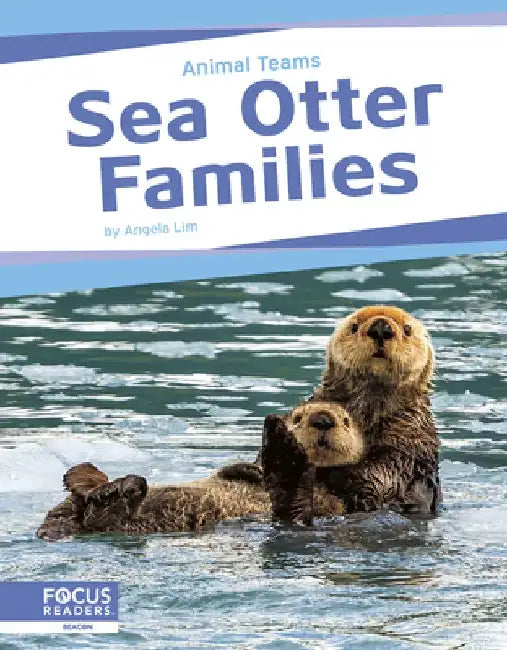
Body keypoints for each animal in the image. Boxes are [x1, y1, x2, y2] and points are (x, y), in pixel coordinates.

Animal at [37, 402, 363, 540]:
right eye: (298, 416)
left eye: (345, 420)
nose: (322, 419)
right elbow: (234, 469)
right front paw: (251, 469)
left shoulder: (336, 501)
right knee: (67, 509)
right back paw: (90, 478)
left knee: (292, 505)